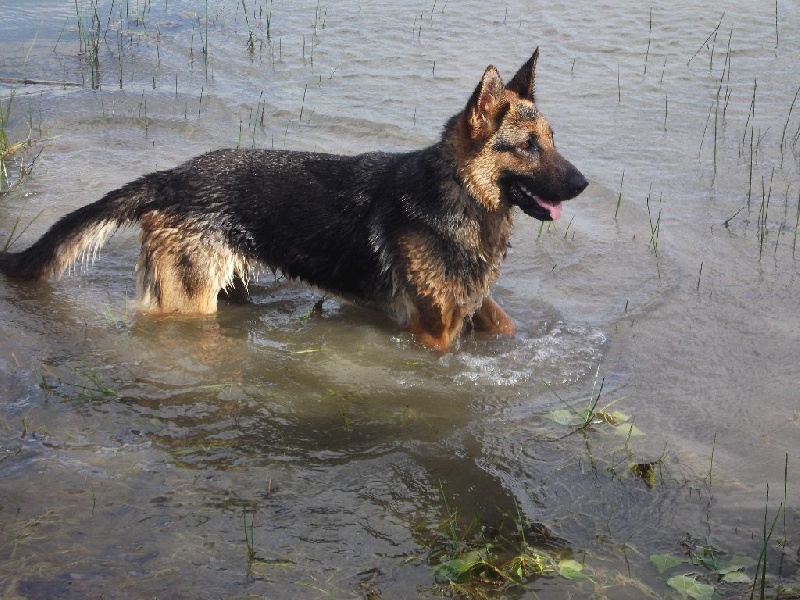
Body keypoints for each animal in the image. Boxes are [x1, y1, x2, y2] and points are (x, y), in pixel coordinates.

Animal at [0, 50, 588, 352]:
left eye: (554, 139)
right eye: (528, 147)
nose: (583, 183)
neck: (457, 197)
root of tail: (172, 176)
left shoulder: (474, 310)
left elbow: (504, 323)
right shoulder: (432, 335)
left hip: (227, 289)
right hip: (188, 305)